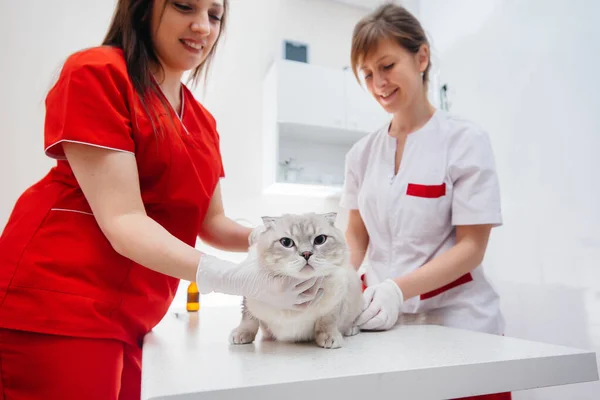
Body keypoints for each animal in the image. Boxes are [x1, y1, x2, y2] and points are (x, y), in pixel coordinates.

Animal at [229, 212, 360, 346]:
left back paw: (351, 329)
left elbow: (327, 322)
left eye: (320, 240)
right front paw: (241, 333)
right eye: (286, 242)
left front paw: (329, 337)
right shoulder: (249, 297)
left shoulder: (335, 301)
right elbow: (248, 319)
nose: (306, 253)